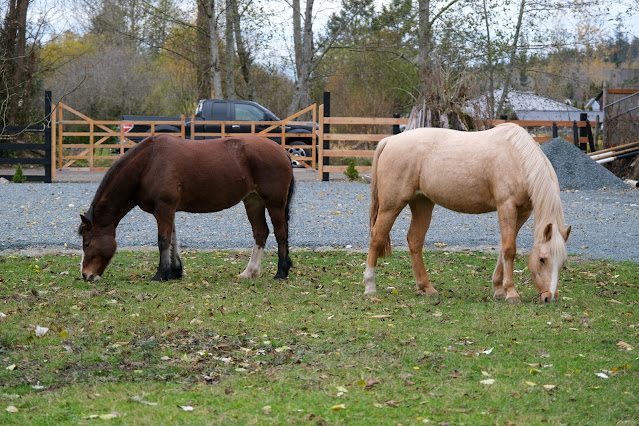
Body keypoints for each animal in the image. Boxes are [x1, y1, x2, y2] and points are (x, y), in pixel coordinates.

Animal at [79, 134, 295, 282]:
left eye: (87, 243)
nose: (86, 275)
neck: (148, 163)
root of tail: (282, 151)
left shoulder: (164, 208)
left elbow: (163, 241)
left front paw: (160, 274)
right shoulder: (167, 210)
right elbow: (173, 240)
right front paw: (175, 271)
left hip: (274, 202)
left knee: (280, 232)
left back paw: (281, 272)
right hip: (253, 201)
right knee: (261, 232)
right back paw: (250, 272)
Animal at [363, 123, 571, 303]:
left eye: (562, 262)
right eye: (542, 259)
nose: (549, 297)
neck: (518, 158)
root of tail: (389, 141)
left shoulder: (522, 213)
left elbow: (503, 249)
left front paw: (499, 290)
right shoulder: (507, 207)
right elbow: (509, 250)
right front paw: (511, 293)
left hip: (422, 203)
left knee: (415, 240)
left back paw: (426, 288)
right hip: (391, 206)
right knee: (377, 238)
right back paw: (370, 286)